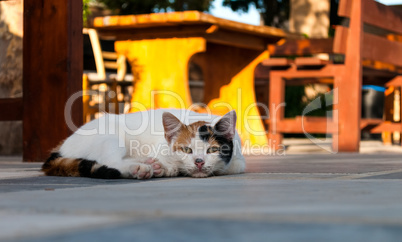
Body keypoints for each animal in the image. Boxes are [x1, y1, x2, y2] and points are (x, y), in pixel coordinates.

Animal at [42, 108, 247, 179]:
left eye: (212, 149)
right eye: (186, 149)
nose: (199, 161)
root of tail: (62, 146)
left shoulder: (238, 161)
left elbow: (231, 166)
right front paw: (165, 167)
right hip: (109, 136)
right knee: (111, 161)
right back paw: (139, 167)